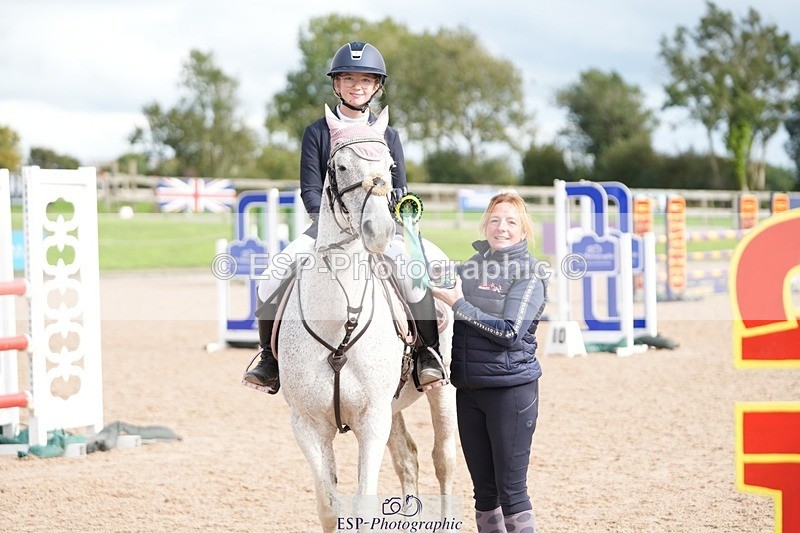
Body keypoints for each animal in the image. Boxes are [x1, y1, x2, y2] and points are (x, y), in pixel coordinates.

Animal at [276, 105, 457, 532]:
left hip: (442, 389)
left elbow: (363, 503)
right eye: (340, 166)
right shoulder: (307, 425)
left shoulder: (372, 420)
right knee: (408, 457)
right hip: (393, 407)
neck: (338, 321)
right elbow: (329, 505)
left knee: (443, 458)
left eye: (390, 165)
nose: (379, 230)